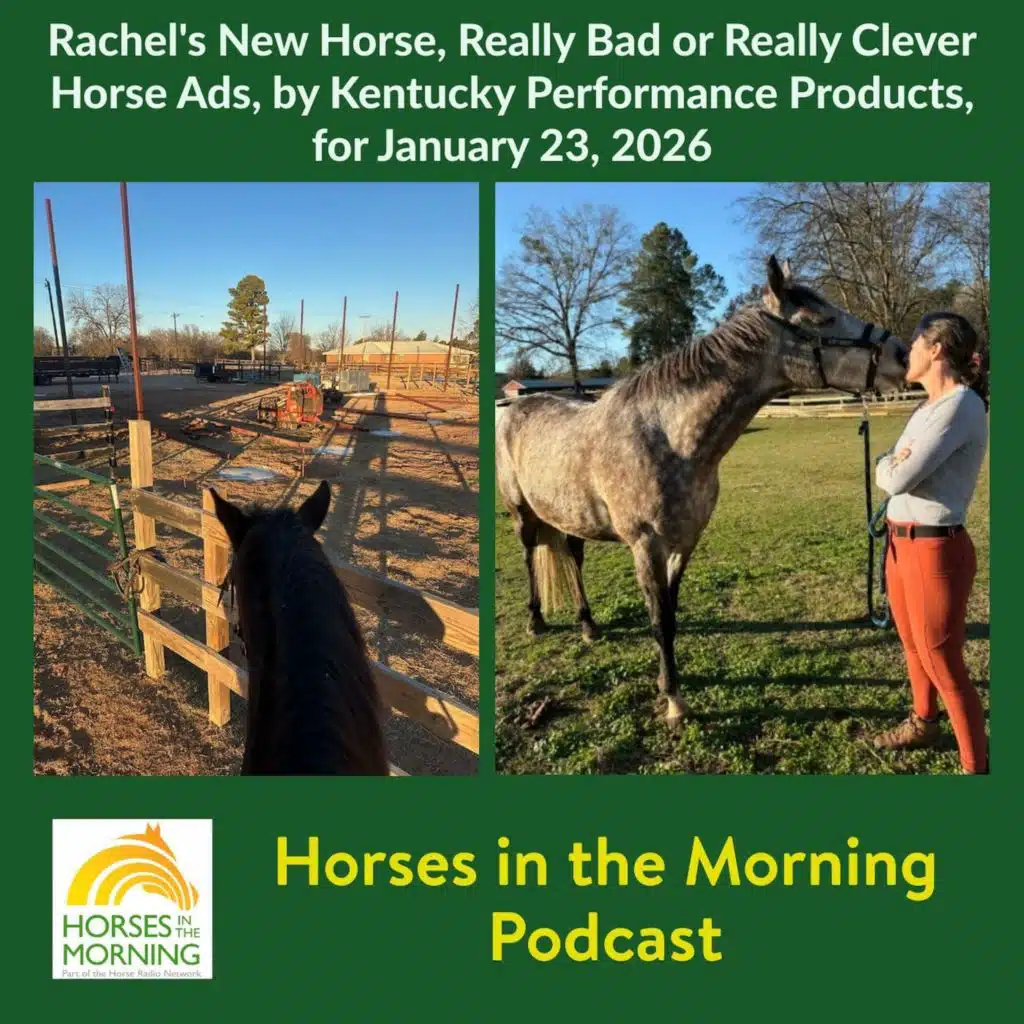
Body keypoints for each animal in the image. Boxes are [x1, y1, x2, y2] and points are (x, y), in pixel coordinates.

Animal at [496, 254, 910, 728]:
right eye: (822, 319)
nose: (902, 353)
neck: (669, 437)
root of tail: (514, 406)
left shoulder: (685, 542)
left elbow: (671, 615)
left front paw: (669, 686)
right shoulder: (646, 546)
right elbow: (658, 620)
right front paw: (674, 702)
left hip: (569, 515)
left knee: (572, 555)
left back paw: (588, 625)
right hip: (522, 513)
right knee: (529, 555)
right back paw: (535, 620)